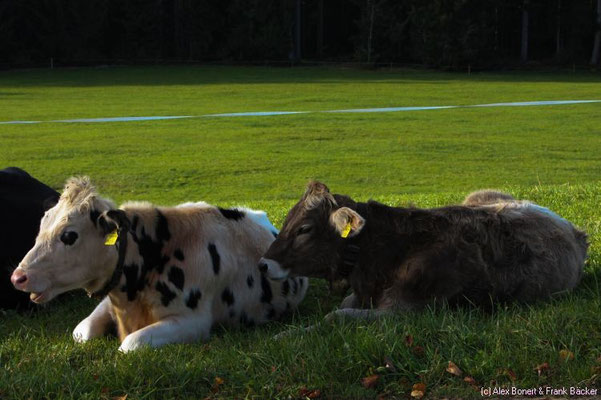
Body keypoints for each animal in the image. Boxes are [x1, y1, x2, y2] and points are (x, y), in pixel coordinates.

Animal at [11, 177, 308, 350]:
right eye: (41, 226)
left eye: (69, 235)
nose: (18, 277)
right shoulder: (109, 300)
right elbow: (81, 332)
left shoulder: (194, 322)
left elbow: (130, 345)